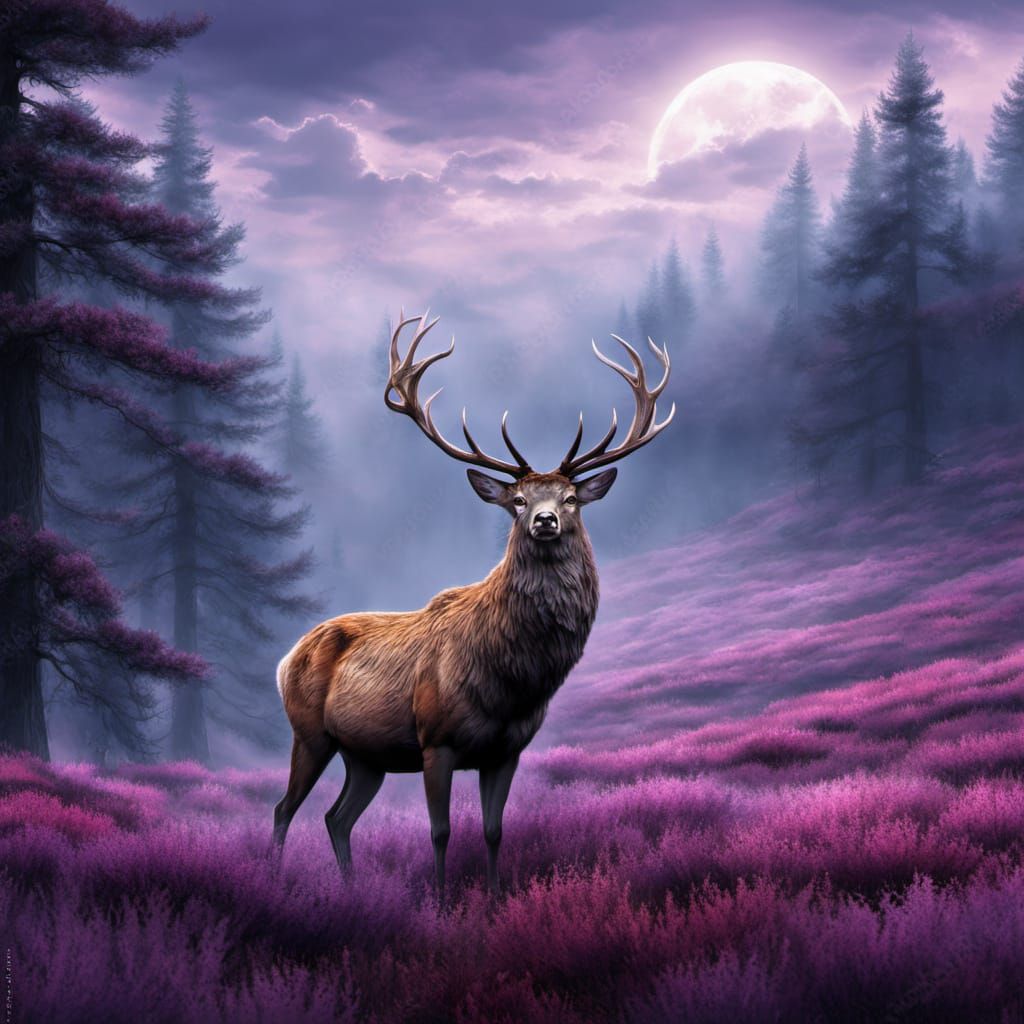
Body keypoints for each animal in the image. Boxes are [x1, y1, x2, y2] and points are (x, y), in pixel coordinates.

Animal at [273, 311, 674, 892]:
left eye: (570, 499)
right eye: (518, 501)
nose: (545, 520)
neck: (512, 682)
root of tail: (285, 658)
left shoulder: (506, 750)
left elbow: (493, 832)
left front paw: (491, 898)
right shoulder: (435, 740)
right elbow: (440, 833)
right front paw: (441, 901)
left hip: (366, 755)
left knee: (336, 817)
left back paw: (349, 889)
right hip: (309, 732)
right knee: (285, 809)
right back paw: (271, 875)